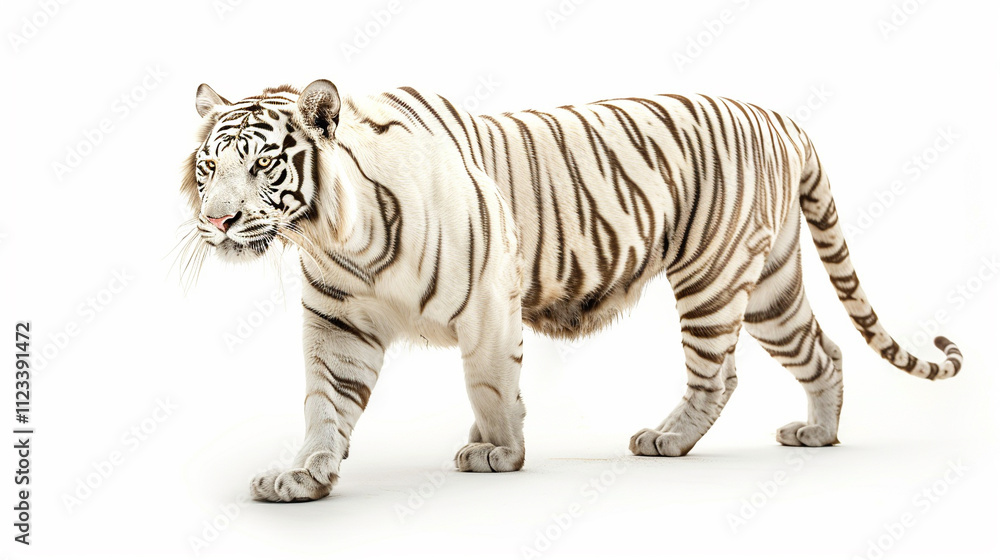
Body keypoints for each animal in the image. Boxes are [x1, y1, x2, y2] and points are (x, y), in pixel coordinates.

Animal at [178, 79, 963, 502]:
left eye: (262, 166)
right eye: (209, 165)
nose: (216, 220)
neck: (339, 234)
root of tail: (782, 118)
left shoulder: (488, 304)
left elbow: (490, 386)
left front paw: (498, 453)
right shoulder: (338, 326)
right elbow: (325, 406)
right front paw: (303, 476)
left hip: (711, 276)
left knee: (719, 374)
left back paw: (665, 440)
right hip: (772, 286)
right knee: (822, 351)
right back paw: (819, 435)